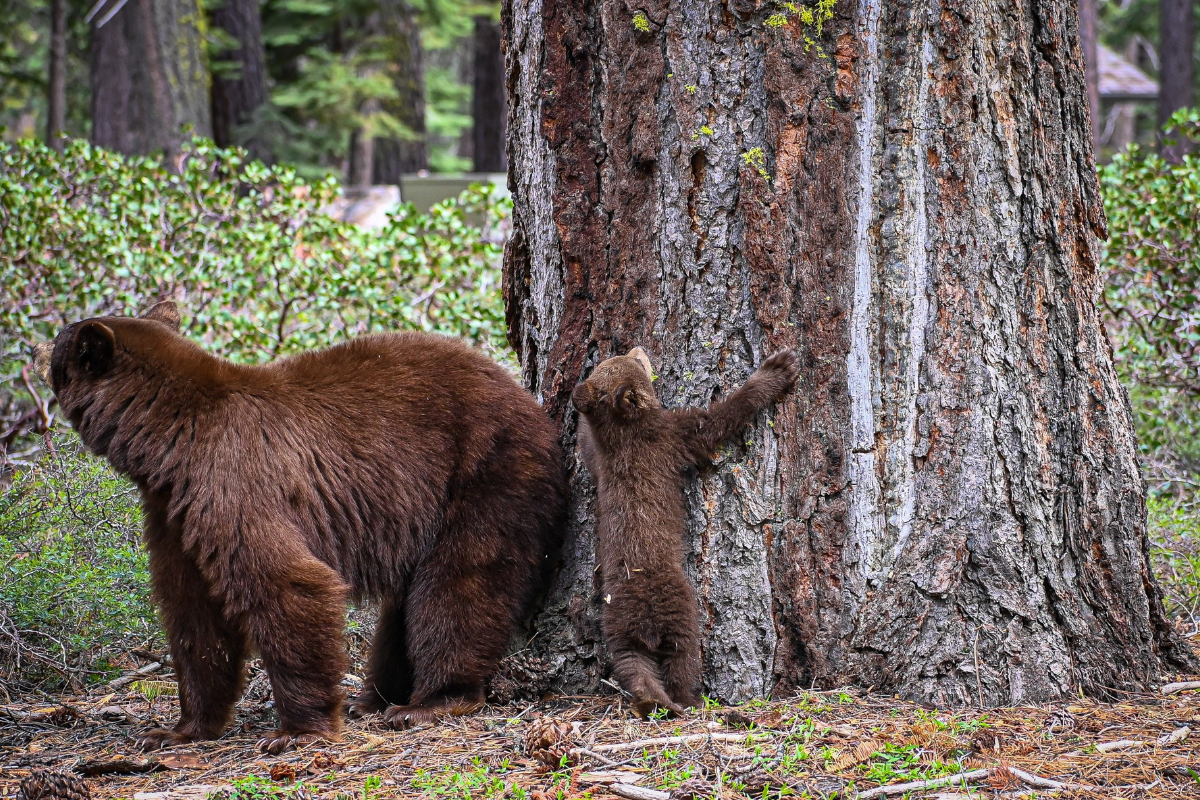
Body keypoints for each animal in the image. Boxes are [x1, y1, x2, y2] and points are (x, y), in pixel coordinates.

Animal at [31, 299, 566, 753]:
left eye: (60, 343)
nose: (36, 347)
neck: (171, 444)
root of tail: (529, 400)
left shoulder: (234, 482)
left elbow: (287, 583)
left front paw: (298, 730)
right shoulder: (175, 511)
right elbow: (194, 615)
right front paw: (178, 729)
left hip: (488, 471)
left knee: (459, 583)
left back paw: (432, 700)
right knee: (404, 606)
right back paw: (373, 698)